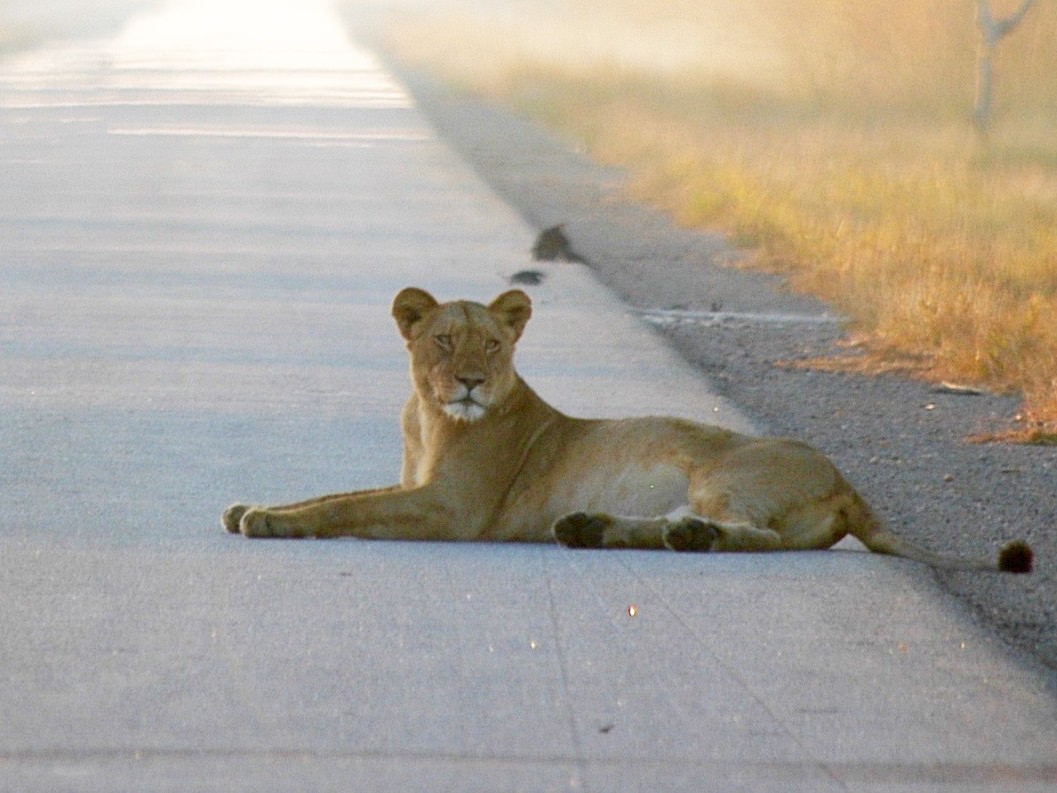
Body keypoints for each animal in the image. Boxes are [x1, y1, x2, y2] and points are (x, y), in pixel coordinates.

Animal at [222, 287, 1032, 574]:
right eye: (445, 341)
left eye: (494, 345)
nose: (471, 382)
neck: (428, 414)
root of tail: (845, 477)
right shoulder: (417, 485)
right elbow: (337, 490)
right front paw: (248, 506)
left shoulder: (451, 509)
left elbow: (344, 505)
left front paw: (267, 518)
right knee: (678, 528)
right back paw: (592, 529)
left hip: (722, 472)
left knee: (757, 536)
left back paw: (689, 538)